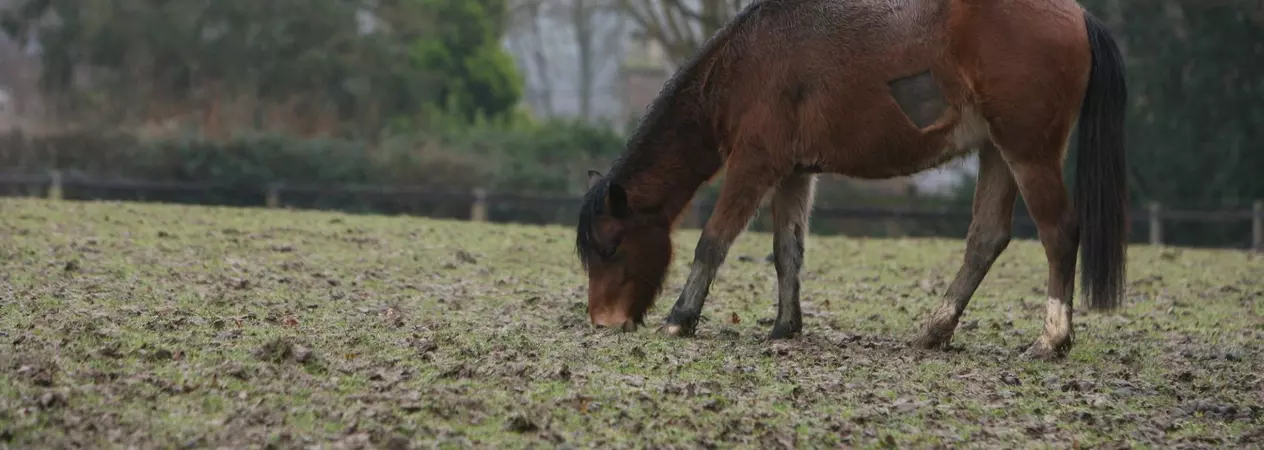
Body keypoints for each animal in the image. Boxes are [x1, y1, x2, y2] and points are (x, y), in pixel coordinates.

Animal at [576, 0, 1128, 360]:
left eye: (611, 247)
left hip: (1027, 153)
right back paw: (934, 331)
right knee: (986, 239)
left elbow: (713, 242)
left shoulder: (754, 165)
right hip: (997, 153)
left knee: (1059, 233)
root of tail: (1078, 15)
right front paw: (784, 327)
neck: (749, 60)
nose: (604, 322)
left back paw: (1050, 340)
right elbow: (787, 252)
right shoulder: (793, 175)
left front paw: (680, 319)